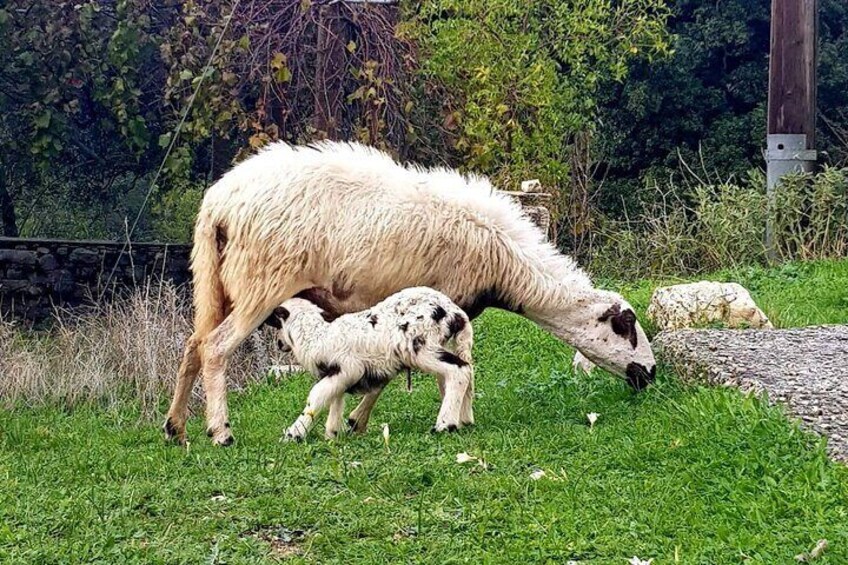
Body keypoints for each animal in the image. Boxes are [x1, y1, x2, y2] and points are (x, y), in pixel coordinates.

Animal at [268, 286, 474, 440]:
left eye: (276, 323)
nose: (278, 344)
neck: (315, 334)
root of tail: (455, 312)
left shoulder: (346, 368)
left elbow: (317, 396)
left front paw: (293, 434)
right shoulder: (339, 374)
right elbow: (336, 398)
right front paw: (334, 433)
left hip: (419, 346)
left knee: (459, 370)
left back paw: (445, 425)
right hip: (444, 343)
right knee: (463, 372)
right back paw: (464, 419)